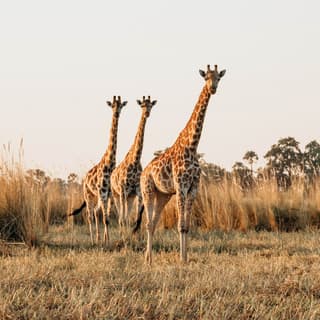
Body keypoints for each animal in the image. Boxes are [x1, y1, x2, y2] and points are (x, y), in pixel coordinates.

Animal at [69, 96, 127, 244]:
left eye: (121, 106)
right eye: (112, 106)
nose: (116, 114)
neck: (110, 162)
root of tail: (84, 179)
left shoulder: (110, 194)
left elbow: (109, 218)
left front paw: (109, 240)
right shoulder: (103, 192)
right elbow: (105, 218)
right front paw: (107, 241)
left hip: (98, 196)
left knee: (96, 212)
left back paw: (99, 238)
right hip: (88, 195)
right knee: (90, 214)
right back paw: (93, 240)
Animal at [109, 94, 156, 238]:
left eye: (151, 105)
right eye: (142, 105)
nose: (147, 113)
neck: (135, 160)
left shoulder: (137, 192)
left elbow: (136, 218)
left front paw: (137, 236)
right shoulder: (123, 190)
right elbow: (123, 218)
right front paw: (124, 236)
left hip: (130, 197)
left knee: (126, 216)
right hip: (116, 195)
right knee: (120, 217)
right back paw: (121, 233)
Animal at [139, 64, 225, 262]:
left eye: (218, 77)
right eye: (206, 77)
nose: (213, 88)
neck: (192, 146)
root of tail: (143, 172)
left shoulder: (193, 187)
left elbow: (187, 226)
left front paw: (185, 259)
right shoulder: (181, 186)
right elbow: (180, 225)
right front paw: (180, 259)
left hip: (162, 195)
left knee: (154, 223)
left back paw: (149, 258)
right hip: (147, 191)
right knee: (148, 223)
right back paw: (148, 259)